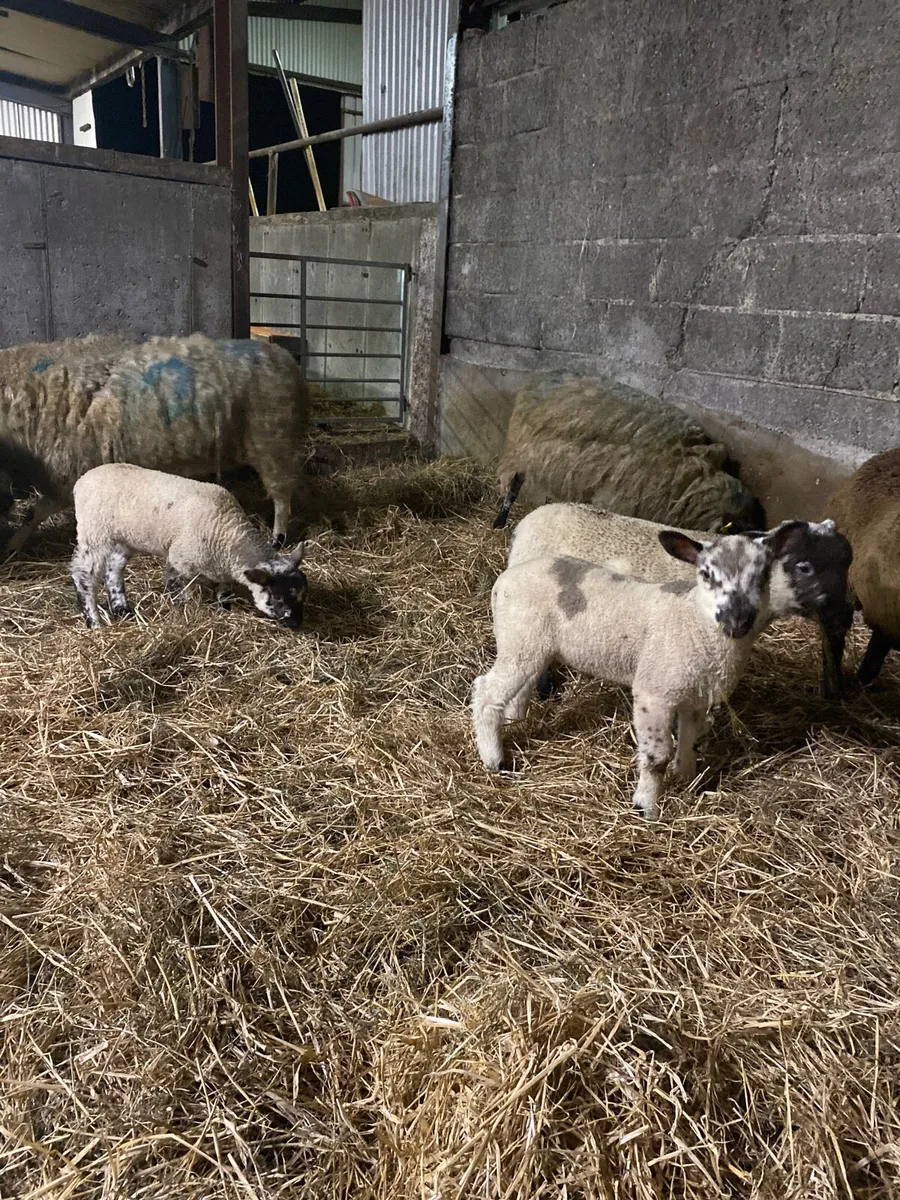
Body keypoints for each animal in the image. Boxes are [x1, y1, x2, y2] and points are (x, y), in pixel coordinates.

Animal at [0, 333, 310, 551]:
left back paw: (278, 538)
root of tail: (284, 358)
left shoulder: (67, 472)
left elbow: (35, 514)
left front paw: (12, 544)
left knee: (282, 494)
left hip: (273, 441)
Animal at [69, 464, 308, 630]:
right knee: (82, 574)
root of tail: (81, 481)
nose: (297, 624)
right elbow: (179, 595)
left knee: (113, 569)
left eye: (302, 595)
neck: (229, 534)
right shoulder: (179, 561)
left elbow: (224, 594)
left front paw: (224, 612)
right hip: (94, 533)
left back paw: (121, 608)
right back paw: (94, 621)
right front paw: (182, 616)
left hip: (123, 539)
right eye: (277, 598)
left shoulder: (223, 571)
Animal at [472, 522, 805, 819]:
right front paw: (646, 808)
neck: (695, 620)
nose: (737, 621)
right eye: (706, 574)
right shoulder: (654, 692)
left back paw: (513, 721)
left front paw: (687, 780)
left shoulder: (696, 696)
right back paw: (493, 758)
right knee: (486, 692)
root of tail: (504, 580)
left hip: (533, 646)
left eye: (763, 574)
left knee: (519, 687)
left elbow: (690, 741)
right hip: (520, 640)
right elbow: (657, 757)